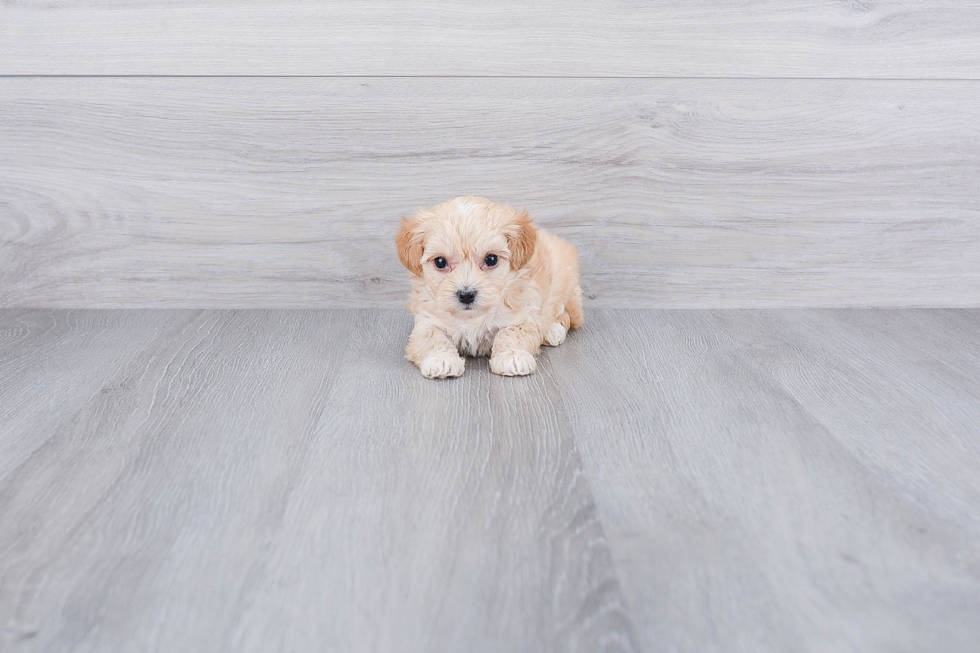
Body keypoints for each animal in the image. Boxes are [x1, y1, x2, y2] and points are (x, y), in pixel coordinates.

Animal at [396, 195, 580, 376]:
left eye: (491, 259)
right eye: (440, 262)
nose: (466, 295)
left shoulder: (521, 315)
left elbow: (511, 332)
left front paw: (512, 356)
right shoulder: (426, 321)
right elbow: (431, 337)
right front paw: (441, 359)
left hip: (564, 285)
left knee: (564, 315)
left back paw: (552, 330)